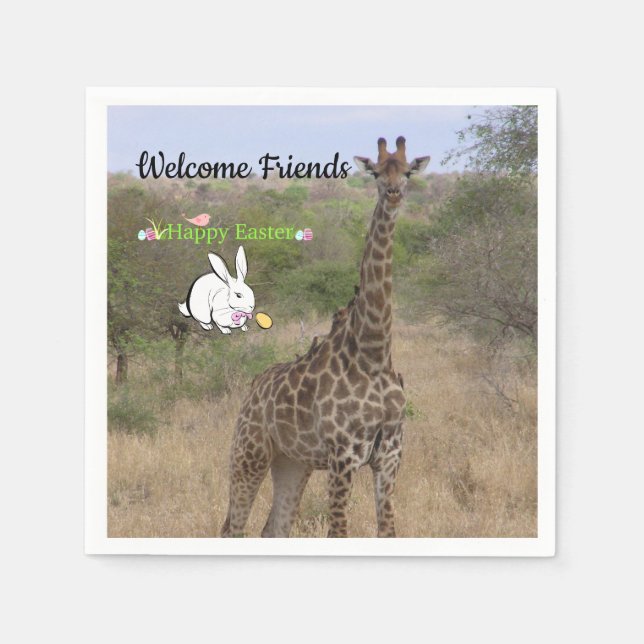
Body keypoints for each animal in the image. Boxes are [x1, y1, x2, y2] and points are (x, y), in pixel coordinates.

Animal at [221, 137, 430, 537]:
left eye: (408, 171)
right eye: (375, 172)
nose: (394, 193)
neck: (373, 354)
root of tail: (252, 388)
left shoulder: (391, 456)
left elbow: (387, 530)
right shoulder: (342, 456)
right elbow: (339, 532)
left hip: (292, 462)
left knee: (274, 528)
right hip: (249, 451)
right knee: (232, 527)